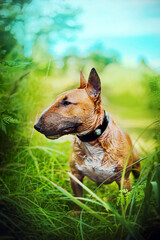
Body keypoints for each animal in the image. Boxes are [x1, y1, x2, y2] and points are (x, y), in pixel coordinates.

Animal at [34, 69, 140, 201]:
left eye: (67, 102)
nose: (36, 126)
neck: (91, 141)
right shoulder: (75, 176)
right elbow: (78, 200)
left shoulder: (123, 181)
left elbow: (125, 204)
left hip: (137, 166)